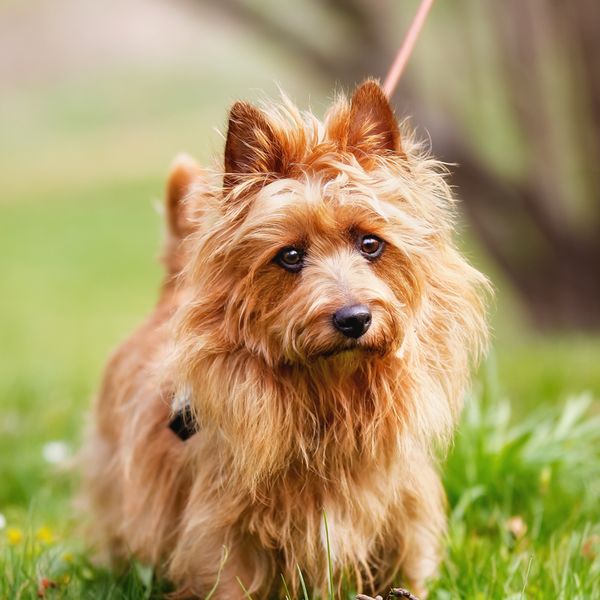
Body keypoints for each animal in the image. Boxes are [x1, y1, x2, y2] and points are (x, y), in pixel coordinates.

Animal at [81, 81, 488, 600]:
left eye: (371, 244)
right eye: (290, 256)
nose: (354, 318)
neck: (330, 395)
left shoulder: (402, 513)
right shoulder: (222, 527)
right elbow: (228, 576)